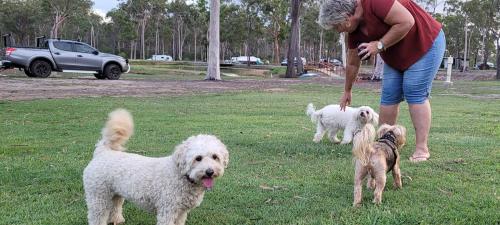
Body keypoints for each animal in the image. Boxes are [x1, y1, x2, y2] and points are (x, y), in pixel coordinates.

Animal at [83, 108, 229, 224]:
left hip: (116, 193)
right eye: (198, 158)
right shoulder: (168, 210)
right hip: (98, 196)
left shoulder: (181, 212)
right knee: (97, 216)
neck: (181, 175)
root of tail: (103, 152)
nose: (210, 171)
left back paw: (117, 220)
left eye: (215, 157)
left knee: (115, 207)